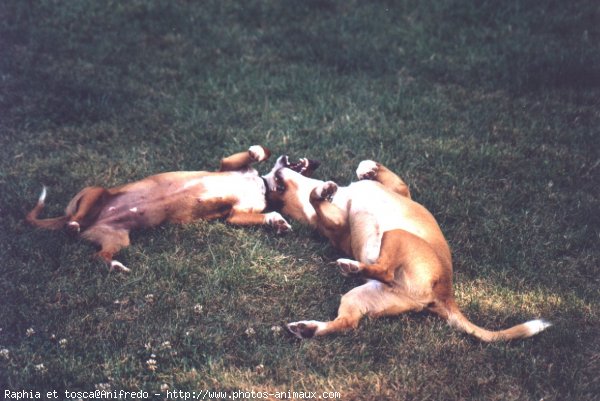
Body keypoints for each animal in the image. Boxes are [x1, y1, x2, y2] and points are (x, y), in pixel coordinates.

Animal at [27, 145, 292, 272]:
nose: (288, 158)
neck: (262, 186)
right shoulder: (227, 165)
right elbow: (257, 152)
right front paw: (258, 151)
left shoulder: (236, 215)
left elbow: (268, 214)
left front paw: (278, 222)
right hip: (96, 192)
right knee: (75, 219)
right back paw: (74, 224)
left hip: (118, 239)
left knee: (98, 255)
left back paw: (115, 265)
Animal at [264, 155, 552, 340]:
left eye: (273, 183)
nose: (280, 159)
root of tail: (443, 294)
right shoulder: (336, 222)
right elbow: (317, 199)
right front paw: (322, 191)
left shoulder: (400, 190)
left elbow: (377, 173)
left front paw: (366, 168)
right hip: (396, 236)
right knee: (383, 271)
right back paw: (350, 269)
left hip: (361, 295)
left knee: (348, 322)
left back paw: (308, 328)